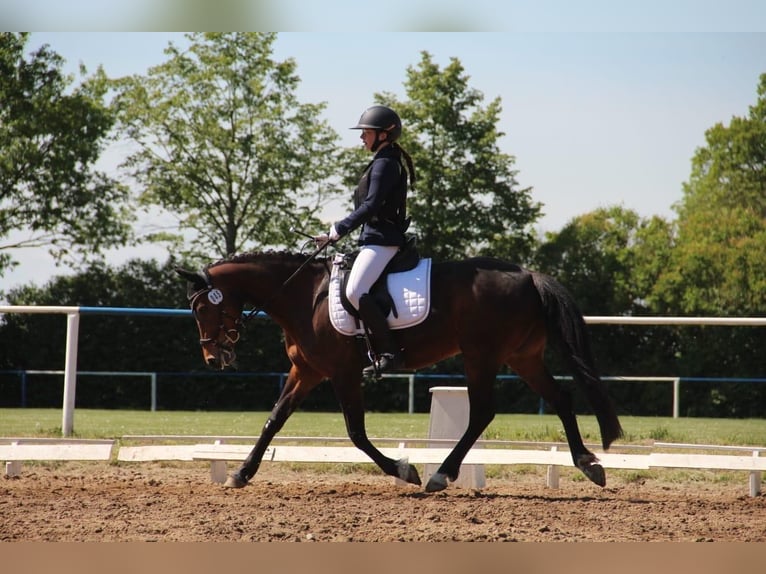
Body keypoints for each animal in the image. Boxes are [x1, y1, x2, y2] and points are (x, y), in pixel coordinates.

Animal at [178, 250, 624, 492]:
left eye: (201, 308)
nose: (214, 359)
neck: (303, 298)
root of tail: (529, 276)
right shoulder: (306, 371)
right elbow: (274, 420)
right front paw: (240, 473)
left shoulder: (342, 373)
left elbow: (356, 433)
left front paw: (404, 470)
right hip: (522, 357)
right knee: (560, 398)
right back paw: (588, 464)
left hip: (481, 355)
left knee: (482, 412)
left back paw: (440, 475)